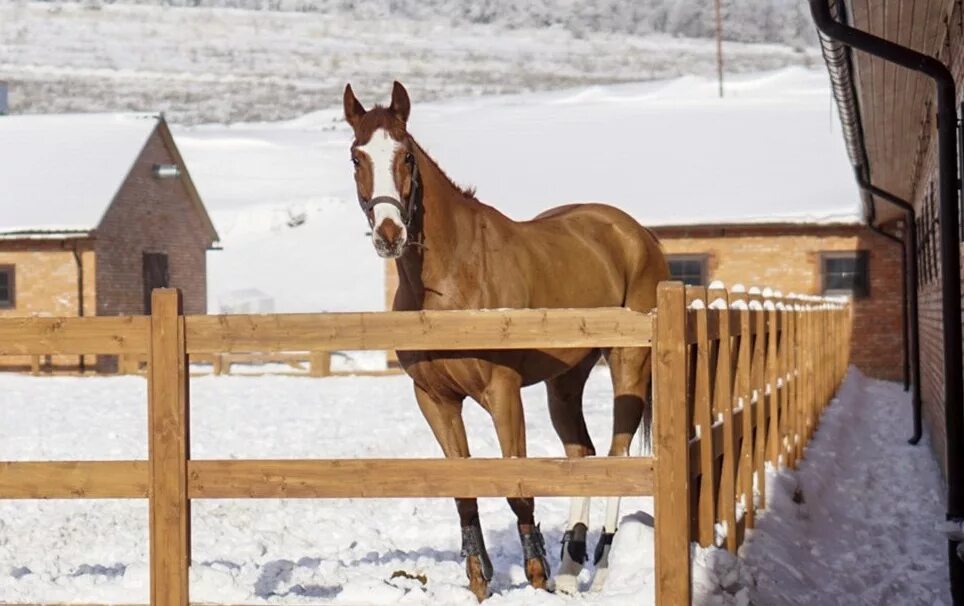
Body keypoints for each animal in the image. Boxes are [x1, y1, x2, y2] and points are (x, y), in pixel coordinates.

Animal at [342, 82, 668, 604]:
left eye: (407, 155)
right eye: (357, 156)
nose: (390, 235)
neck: (451, 280)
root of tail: (638, 235)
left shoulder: (502, 391)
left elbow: (517, 484)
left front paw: (534, 575)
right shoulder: (435, 399)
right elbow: (463, 487)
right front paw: (480, 578)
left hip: (629, 365)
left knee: (617, 454)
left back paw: (599, 569)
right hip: (566, 381)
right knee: (581, 454)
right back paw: (570, 570)